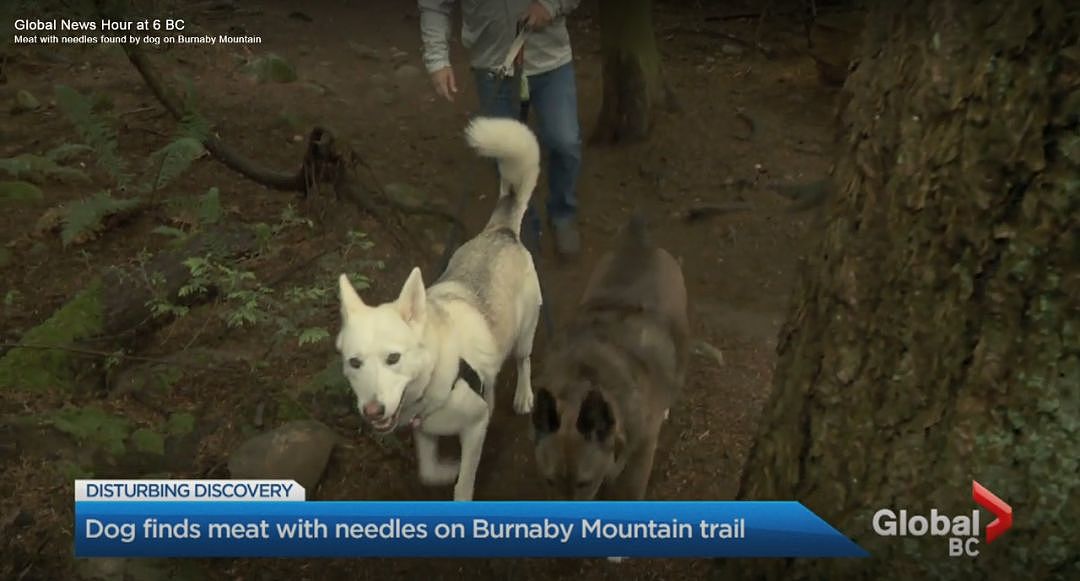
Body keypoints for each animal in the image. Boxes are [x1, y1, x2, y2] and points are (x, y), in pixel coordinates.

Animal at [334, 116, 540, 496]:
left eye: (394, 358)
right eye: (354, 363)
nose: (372, 411)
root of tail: (501, 231)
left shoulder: (474, 427)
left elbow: (464, 484)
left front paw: (461, 476)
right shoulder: (424, 430)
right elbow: (429, 472)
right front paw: (447, 468)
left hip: (526, 331)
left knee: (523, 360)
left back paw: (523, 395)